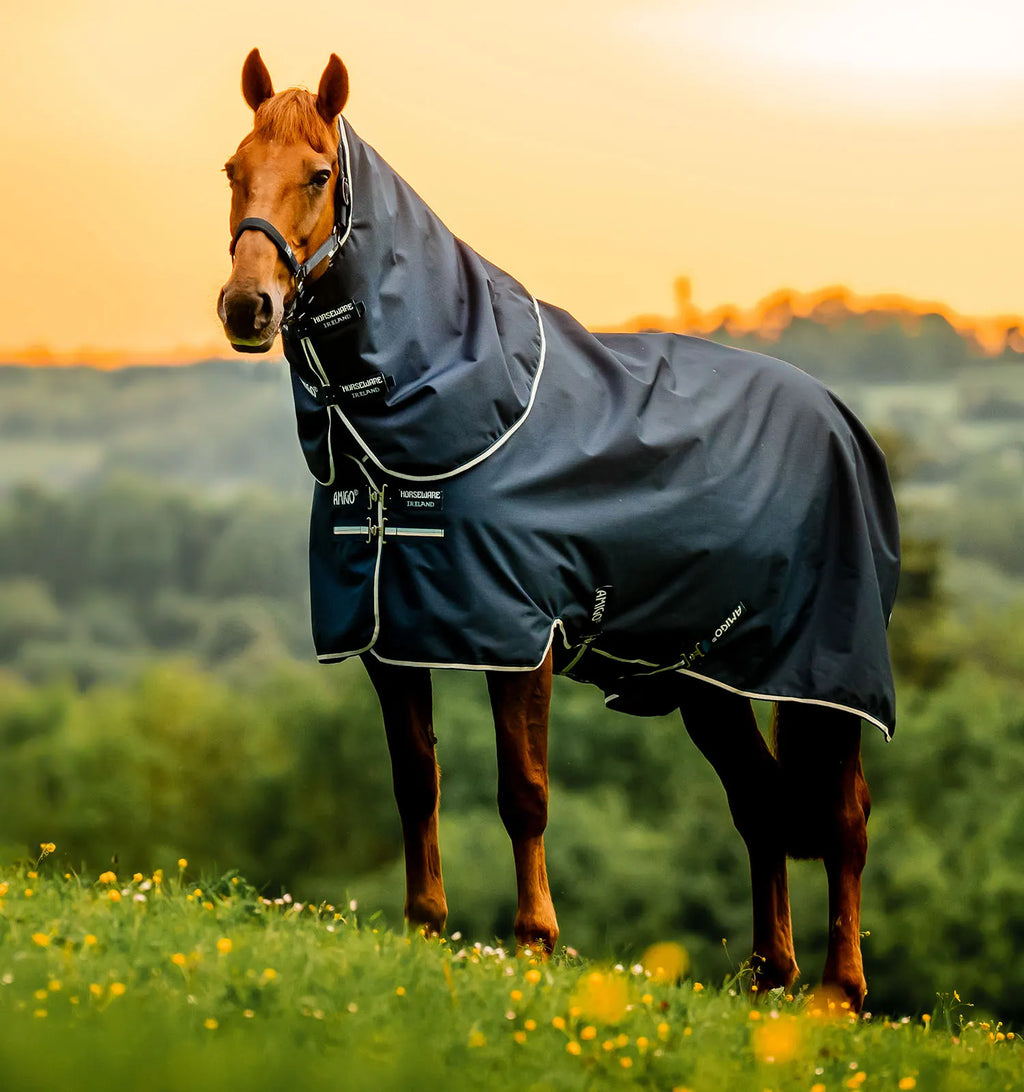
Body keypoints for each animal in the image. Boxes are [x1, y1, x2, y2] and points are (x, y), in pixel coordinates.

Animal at [217, 49, 900, 1011]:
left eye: (318, 175)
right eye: (232, 171)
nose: (248, 308)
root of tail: (841, 419)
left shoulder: (518, 636)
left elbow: (524, 791)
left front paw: (535, 940)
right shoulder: (389, 638)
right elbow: (415, 781)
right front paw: (424, 926)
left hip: (826, 675)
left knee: (843, 816)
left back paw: (839, 991)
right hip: (710, 679)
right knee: (761, 803)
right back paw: (770, 975)